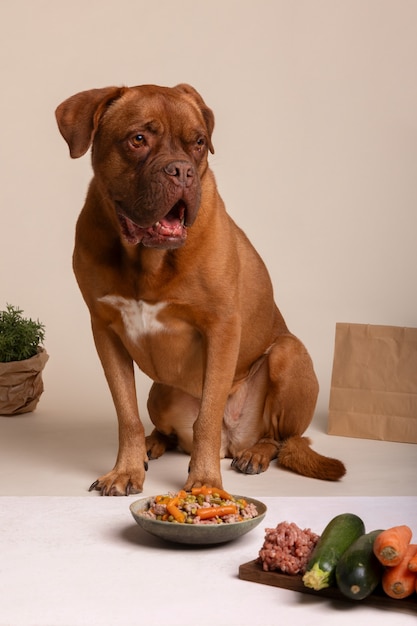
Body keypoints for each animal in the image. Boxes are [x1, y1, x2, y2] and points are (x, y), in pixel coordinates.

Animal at [55, 81, 344, 492]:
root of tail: (232, 440)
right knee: (170, 431)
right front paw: (126, 468)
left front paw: (206, 479)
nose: (182, 171)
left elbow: (206, 416)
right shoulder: (105, 331)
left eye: (198, 142)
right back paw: (154, 442)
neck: (146, 260)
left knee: (283, 439)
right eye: (138, 139)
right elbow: (126, 414)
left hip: (289, 355)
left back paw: (255, 452)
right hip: (159, 391)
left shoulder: (220, 329)